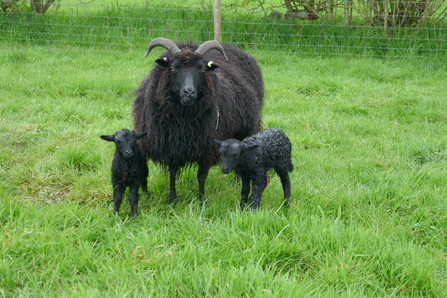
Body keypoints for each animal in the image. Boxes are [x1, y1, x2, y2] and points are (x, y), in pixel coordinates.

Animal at [134, 37, 266, 203]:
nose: (189, 92)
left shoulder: (207, 146)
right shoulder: (171, 144)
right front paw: (172, 199)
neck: (183, 119)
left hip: (248, 130)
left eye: (202, 69)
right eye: (173, 68)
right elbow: (172, 174)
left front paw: (202, 200)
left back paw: (237, 183)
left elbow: (201, 176)